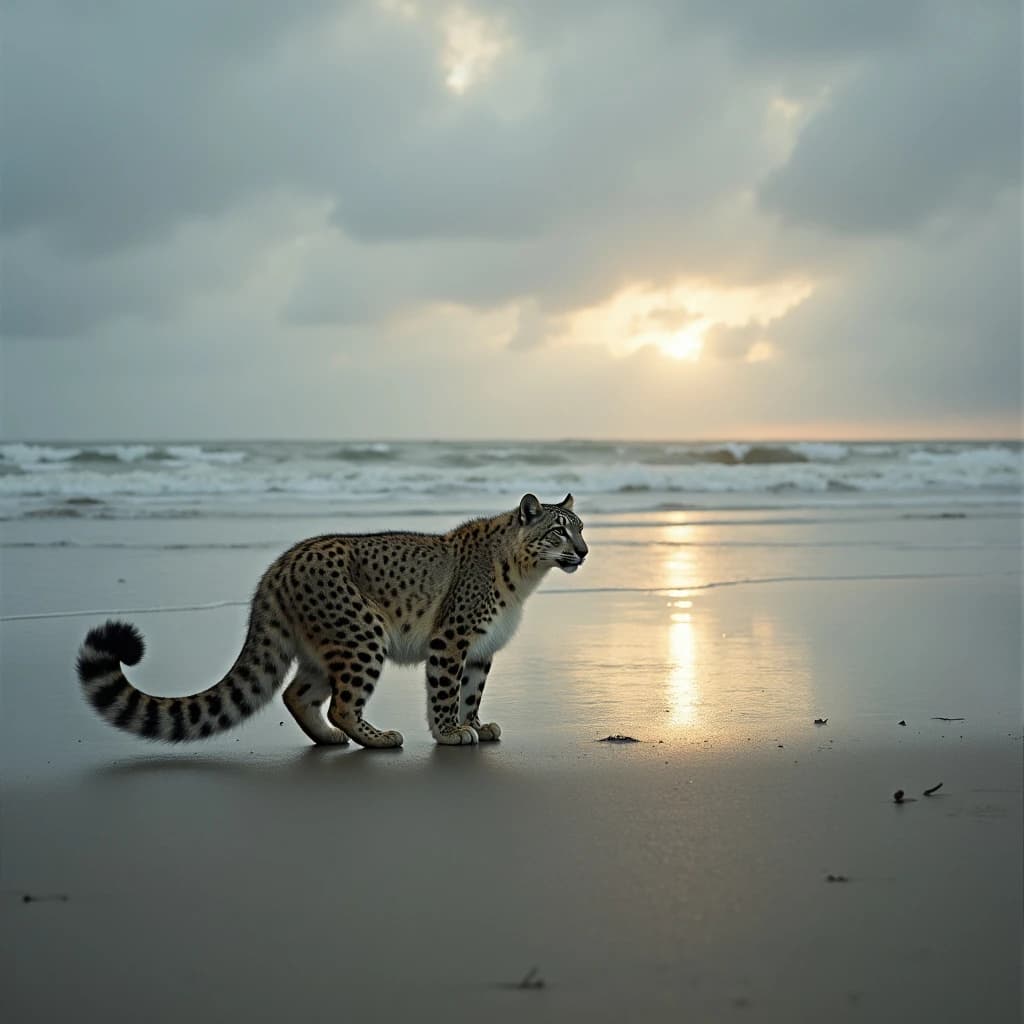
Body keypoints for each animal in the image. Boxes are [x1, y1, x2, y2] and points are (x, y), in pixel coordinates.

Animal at [76, 493, 587, 748]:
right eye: (559, 530)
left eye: (581, 527)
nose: (583, 552)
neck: (524, 576)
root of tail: (279, 565)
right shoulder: (452, 640)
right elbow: (446, 691)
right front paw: (449, 733)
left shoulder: (480, 650)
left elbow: (471, 692)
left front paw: (475, 724)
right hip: (363, 636)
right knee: (341, 703)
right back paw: (378, 738)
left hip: (328, 649)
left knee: (296, 694)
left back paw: (328, 739)